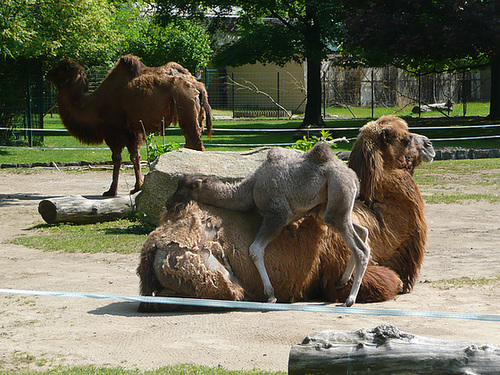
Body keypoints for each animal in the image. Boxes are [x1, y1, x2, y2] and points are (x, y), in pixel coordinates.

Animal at [44, 56, 213, 197]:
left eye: (61, 67)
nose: (47, 74)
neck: (93, 105)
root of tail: (199, 87)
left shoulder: (114, 130)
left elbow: (117, 158)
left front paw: (111, 191)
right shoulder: (132, 131)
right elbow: (135, 156)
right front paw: (137, 187)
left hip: (187, 112)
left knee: (195, 143)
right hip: (197, 116)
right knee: (192, 143)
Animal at [136, 115, 434, 312]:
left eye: (183, 186)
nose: (168, 203)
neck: (248, 189)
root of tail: (353, 178)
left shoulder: (276, 214)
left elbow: (256, 249)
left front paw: (270, 295)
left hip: (335, 209)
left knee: (360, 247)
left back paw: (348, 298)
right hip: (333, 209)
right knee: (361, 234)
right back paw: (343, 281)